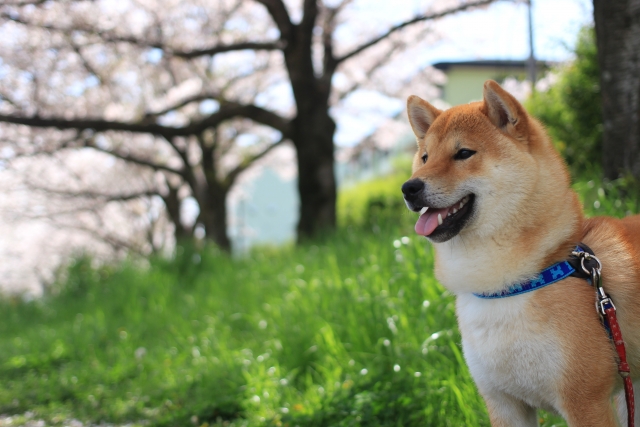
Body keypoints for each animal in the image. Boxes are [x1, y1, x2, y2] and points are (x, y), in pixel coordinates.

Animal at [402, 79, 640, 424]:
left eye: (463, 153)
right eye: (424, 157)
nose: (409, 188)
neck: (508, 288)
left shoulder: (585, 402)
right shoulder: (503, 404)